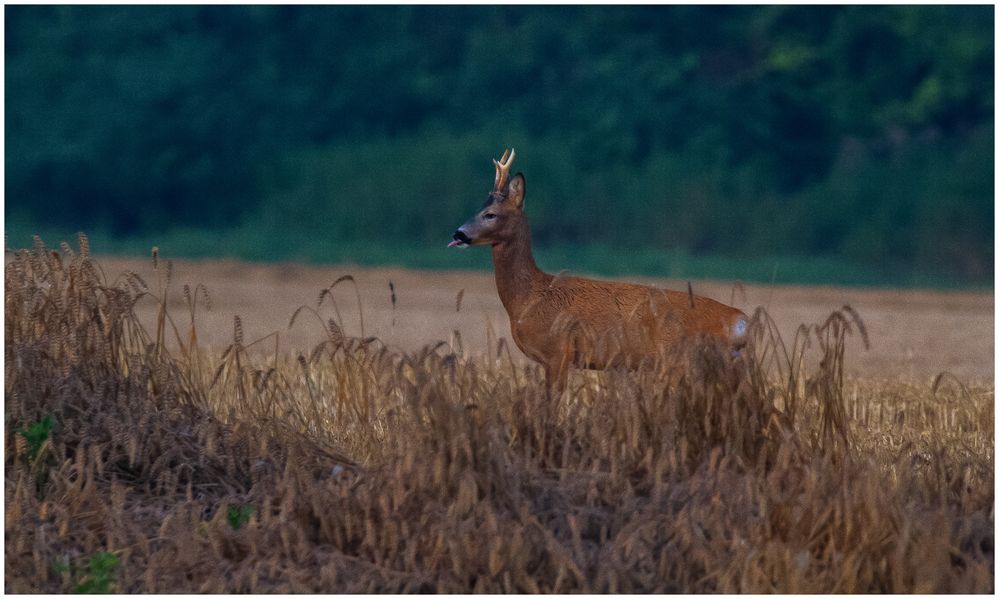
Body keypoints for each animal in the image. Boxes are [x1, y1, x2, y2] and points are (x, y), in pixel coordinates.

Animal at [450, 148, 748, 398]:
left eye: (490, 213)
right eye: (478, 209)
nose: (458, 234)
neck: (529, 297)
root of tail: (740, 321)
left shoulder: (559, 352)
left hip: (679, 360)